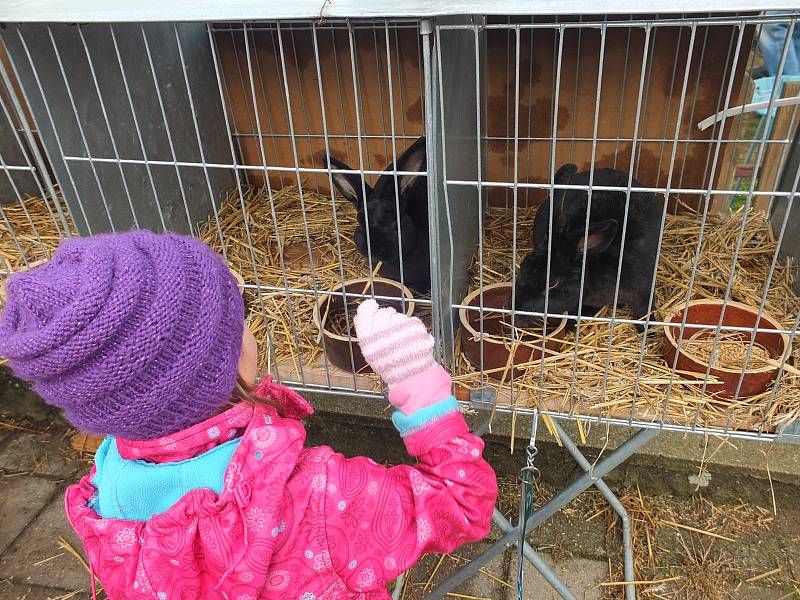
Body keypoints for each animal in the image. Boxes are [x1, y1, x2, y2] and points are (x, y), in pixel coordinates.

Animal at [512, 163, 664, 328]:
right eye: (523, 265)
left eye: (552, 282)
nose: (514, 308)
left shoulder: (643, 292)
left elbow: (643, 314)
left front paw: (649, 330)